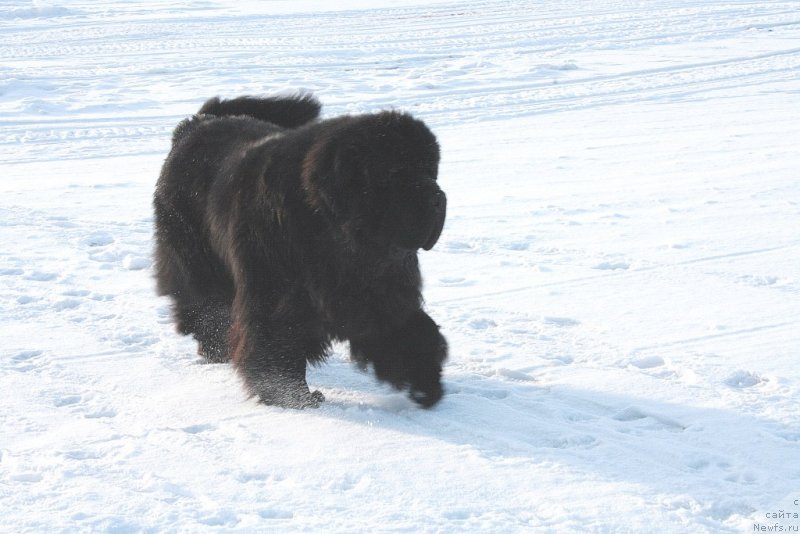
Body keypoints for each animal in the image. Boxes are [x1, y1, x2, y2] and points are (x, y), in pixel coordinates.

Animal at [152, 93, 450, 410]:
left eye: (430, 170)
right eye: (397, 174)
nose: (438, 198)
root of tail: (195, 124)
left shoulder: (380, 293)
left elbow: (409, 330)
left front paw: (426, 382)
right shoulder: (275, 295)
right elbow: (275, 343)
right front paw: (292, 396)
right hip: (196, 258)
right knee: (203, 304)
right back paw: (216, 346)